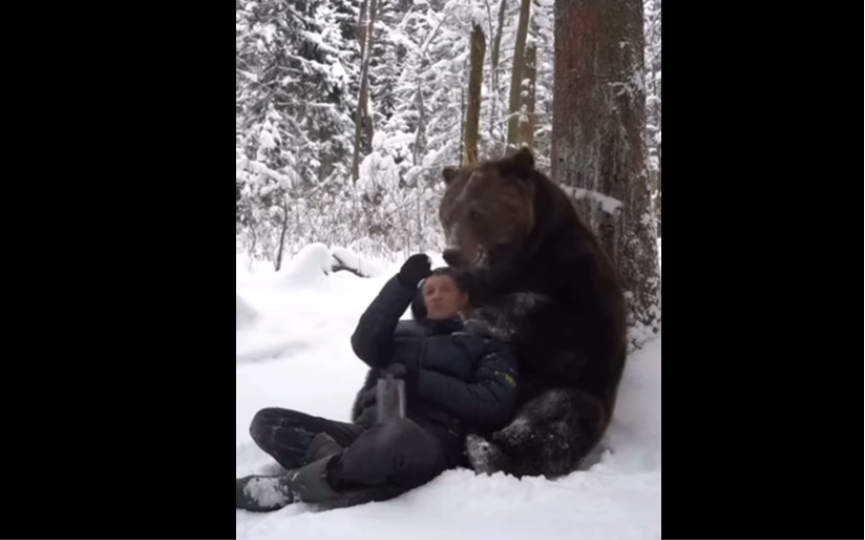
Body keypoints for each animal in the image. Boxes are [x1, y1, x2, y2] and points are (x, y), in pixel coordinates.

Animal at [436, 146, 624, 478]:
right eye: (447, 214)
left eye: (476, 212)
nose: (453, 252)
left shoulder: (580, 276)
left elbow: (582, 333)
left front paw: (480, 316)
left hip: (562, 392)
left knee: (562, 413)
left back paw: (487, 449)